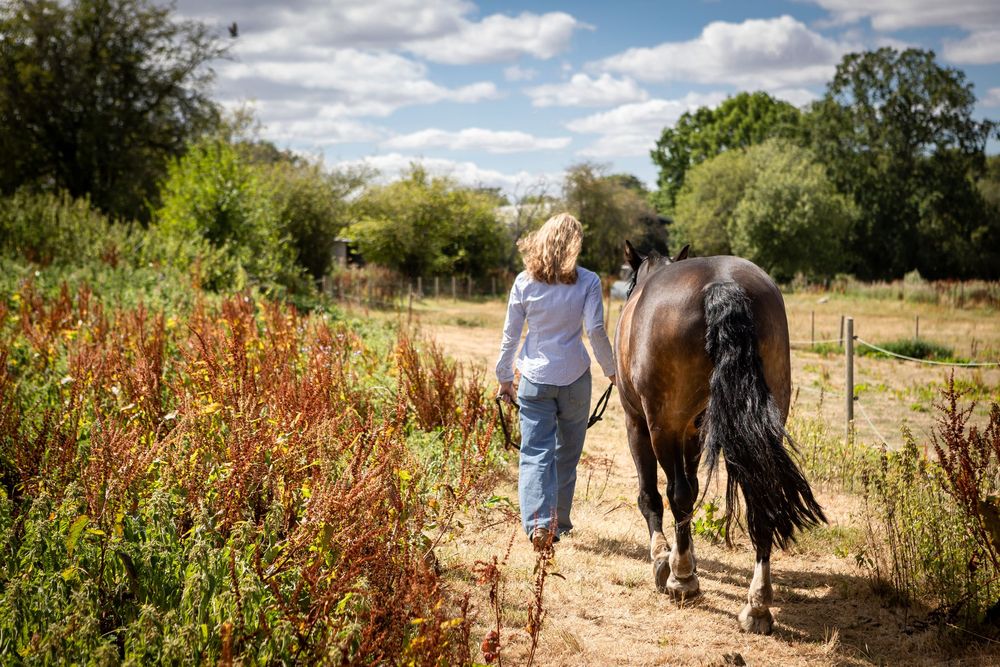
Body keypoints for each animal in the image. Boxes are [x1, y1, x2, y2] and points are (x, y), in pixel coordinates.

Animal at [614, 241, 825, 635]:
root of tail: (722, 285)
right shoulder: (695, 431)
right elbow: (694, 487)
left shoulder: (638, 424)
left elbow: (652, 495)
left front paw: (664, 558)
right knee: (761, 498)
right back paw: (758, 606)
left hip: (663, 425)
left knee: (677, 494)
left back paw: (682, 579)